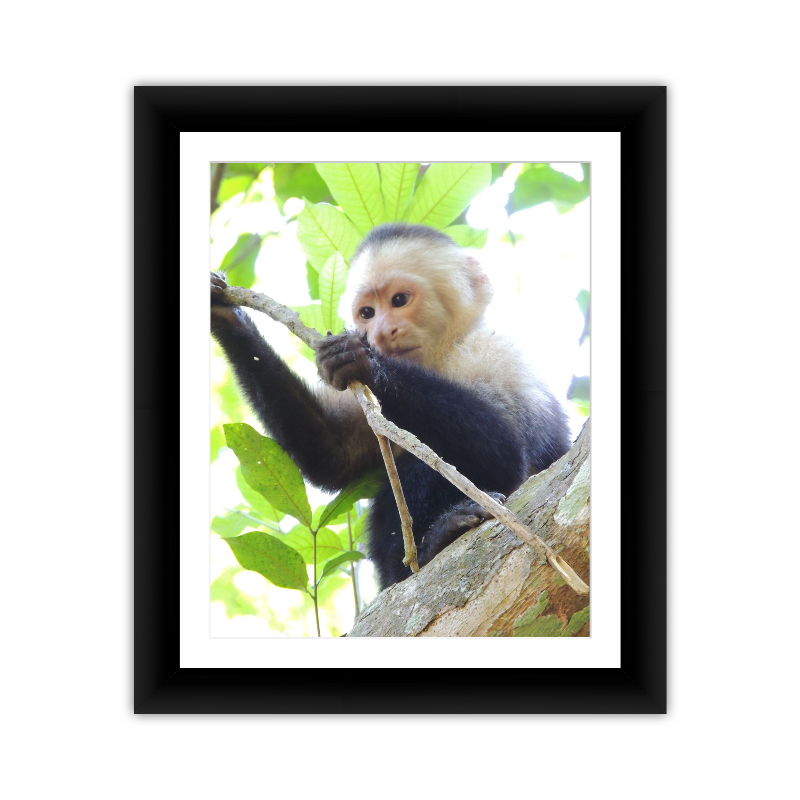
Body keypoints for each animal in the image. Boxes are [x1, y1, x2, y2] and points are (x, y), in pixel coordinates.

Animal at [211, 222, 572, 591]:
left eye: (400, 300)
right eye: (367, 313)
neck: (437, 357)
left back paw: (436, 541)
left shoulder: (495, 353)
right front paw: (228, 316)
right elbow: (334, 455)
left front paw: (365, 362)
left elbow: (505, 451)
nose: (381, 333)